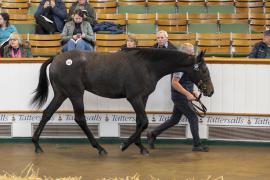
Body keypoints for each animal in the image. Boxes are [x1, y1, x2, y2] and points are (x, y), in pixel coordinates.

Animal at [31, 48, 213, 156]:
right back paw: (100, 148)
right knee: (80, 119)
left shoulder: (142, 98)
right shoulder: (134, 98)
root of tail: (56, 58)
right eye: (204, 70)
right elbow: (144, 121)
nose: (210, 91)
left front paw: (141, 147)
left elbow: (140, 121)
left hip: (61, 94)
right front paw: (125, 145)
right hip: (75, 93)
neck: (147, 66)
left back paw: (37, 145)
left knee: (47, 114)